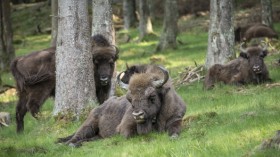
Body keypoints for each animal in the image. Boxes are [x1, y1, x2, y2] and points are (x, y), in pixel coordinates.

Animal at [57, 65, 187, 147]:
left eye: (152, 96)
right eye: (129, 98)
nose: (137, 115)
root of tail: (98, 107)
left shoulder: (176, 119)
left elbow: (174, 132)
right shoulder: (125, 127)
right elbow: (130, 135)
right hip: (88, 125)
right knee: (76, 137)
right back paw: (69, 144)